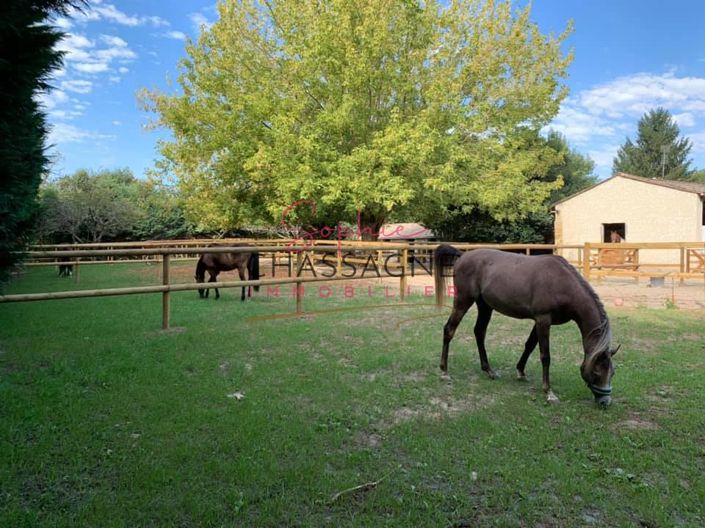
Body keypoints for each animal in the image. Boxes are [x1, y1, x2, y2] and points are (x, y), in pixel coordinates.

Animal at [434, 245, 616, 406]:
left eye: (612, 373)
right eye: (597, 371)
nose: (605, 402)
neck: (561, 282)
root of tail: (463, 255)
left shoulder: (540, 321)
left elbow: (529, 345)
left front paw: (520, 372)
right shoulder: (543, 320)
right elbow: (545, 356)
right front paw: (548, 392)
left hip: (485, 306)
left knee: (479, 332)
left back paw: (489, 370)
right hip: (463, 301)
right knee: (449, 330)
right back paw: (444, 371)